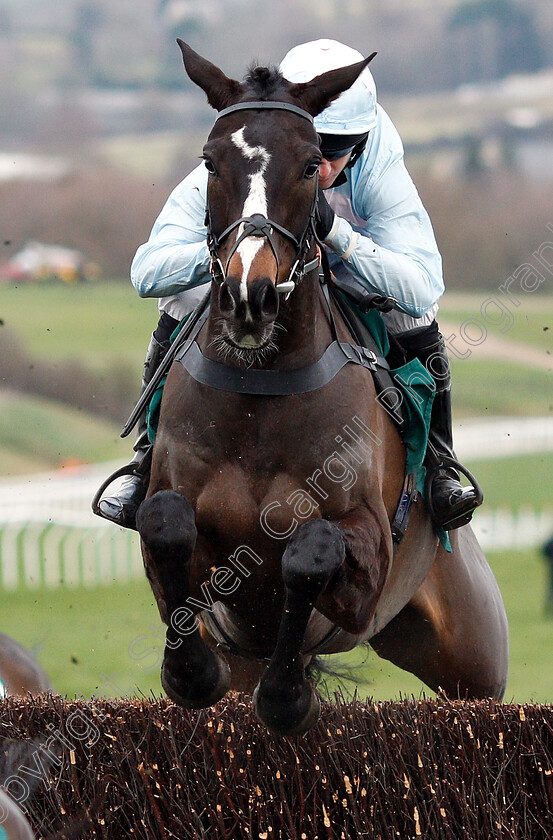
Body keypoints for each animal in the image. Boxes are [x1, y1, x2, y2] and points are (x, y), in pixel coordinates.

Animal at [135, 41, 508, 736]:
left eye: (312, 163)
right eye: (210, 162)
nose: (249, 296)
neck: (259, 397)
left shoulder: (367, 551)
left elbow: (310, 549)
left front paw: (288, 698)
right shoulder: (195, 556)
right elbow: (163, 523)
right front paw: (191, 673)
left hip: (475, 659)